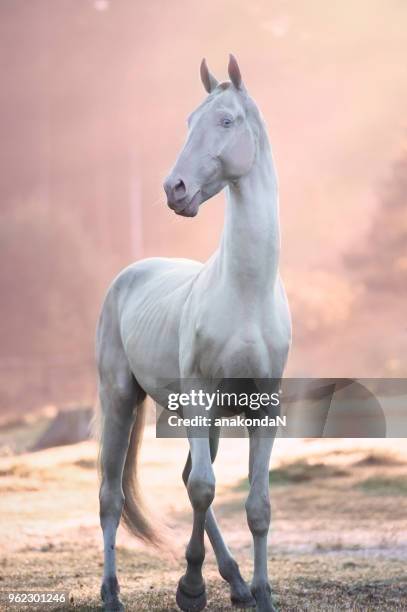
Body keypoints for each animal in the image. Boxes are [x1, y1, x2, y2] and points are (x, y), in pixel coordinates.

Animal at [97, 55, 292, 608]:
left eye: (226, 120)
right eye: (189, 121)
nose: (174, 189)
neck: (245, 295)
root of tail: (130, 274)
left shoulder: (262, 407)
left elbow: (256, 505)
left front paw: (262, 592)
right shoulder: (200, 398)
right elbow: (203, 490)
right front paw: (190, 587)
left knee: (186, 479)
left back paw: (238, 582)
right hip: (121, 398)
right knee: (112, 497)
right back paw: (112, 592)